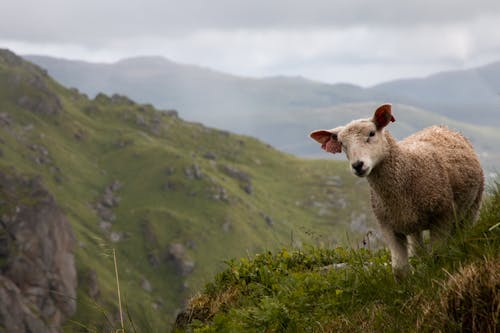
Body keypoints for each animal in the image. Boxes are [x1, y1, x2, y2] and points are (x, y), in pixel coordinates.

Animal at [308, 104, 484, 278]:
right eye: (342, 144)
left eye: (371, 133)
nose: (357, 165)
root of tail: (441, 127)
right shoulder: (388, 226)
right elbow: (400, 269)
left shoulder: (442, 217)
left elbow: (437, 256)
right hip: (412, 223)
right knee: (418, 250)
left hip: (473, 206)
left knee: (462, 233)